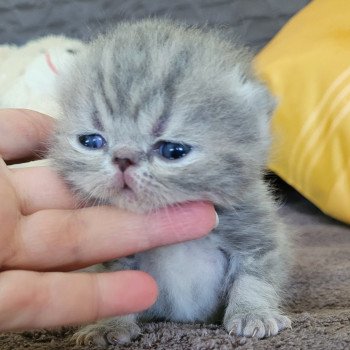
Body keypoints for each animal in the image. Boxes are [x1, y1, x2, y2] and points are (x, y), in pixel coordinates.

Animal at [48, 19, 290, 348]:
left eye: (173, 151)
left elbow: (254, 277)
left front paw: (254, 313)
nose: (123, 158)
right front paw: (107, 326)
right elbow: (116, 290)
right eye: (92, 141)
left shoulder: (254, 230)